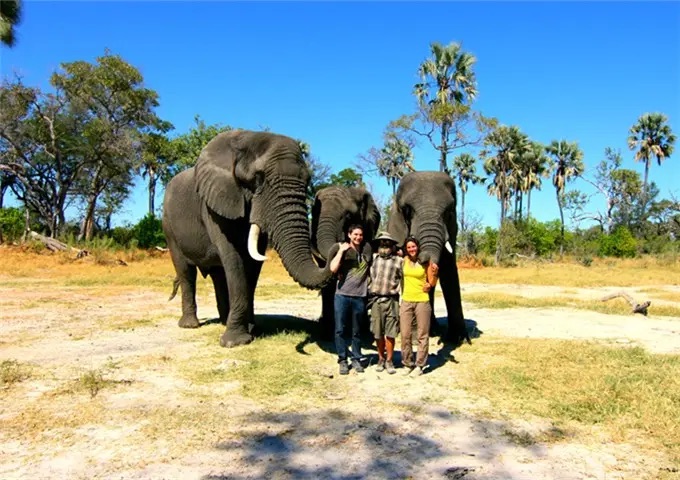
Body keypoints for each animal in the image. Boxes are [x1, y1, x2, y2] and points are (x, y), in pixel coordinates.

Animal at [165, 129, 334, 346]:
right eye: (259, 178)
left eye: (308, 181)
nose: (339, 249)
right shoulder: (213, 203)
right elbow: (234, 257)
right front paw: (235, 342)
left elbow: (253, 263)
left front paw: (252, 330)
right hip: (168, 226)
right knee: (186, 271)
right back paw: (190, 325)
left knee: (218, 274)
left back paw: (223, 320)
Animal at [386, 171, 470, 344]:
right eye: (408, 210)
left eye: (449, 212)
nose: (422, 258)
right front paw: (413, 339)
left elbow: (449, 273)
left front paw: (459, 339)